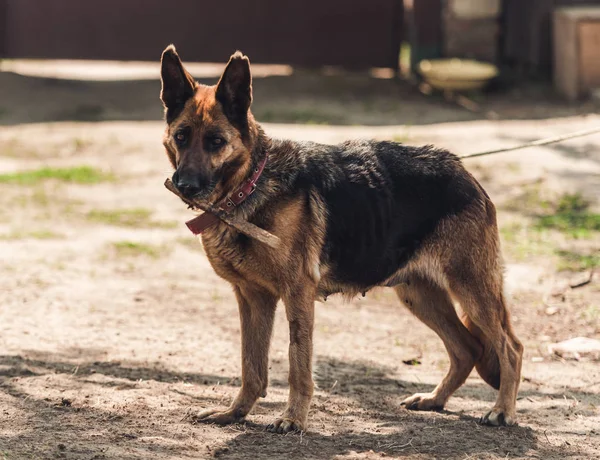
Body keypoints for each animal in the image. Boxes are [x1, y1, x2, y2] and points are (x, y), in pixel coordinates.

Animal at [161, 45, 524, 434]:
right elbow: (251, 365)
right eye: (181, 137)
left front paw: (293, 418)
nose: (185, 185)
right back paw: (435, 400)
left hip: (471, 288)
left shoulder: (296, 294)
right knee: (467, 349)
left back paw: (502, 410)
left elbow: (297, 362)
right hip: (420, 296)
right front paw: (235, 412)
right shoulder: (252, 298)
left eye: (216, 142)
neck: (250, 185)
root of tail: (465, 172)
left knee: (510, 348)